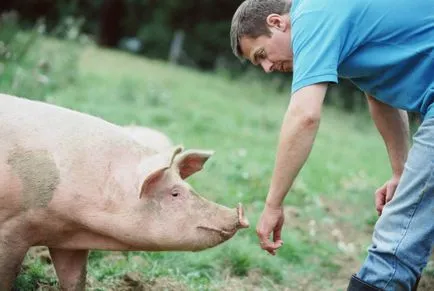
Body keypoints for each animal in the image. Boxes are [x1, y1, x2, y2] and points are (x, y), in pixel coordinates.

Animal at [0, 94, 249, 291]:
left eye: (189, 188)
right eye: (175, 193)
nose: (239, 212)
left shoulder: (66, 239)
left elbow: (75, 280)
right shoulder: (13, 225)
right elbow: (7, 275)